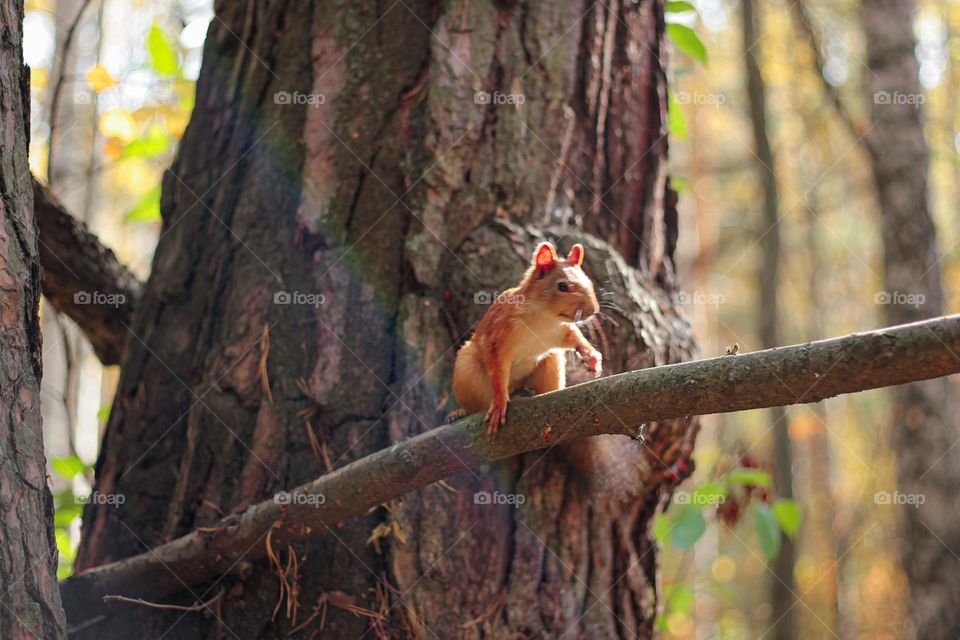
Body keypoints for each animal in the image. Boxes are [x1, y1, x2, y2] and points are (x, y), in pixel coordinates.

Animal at [453, 241, 603, 434]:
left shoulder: (560, 331)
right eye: (562, 286)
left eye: (589, 282)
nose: (593, 310)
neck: (544, 319)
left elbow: (574, 337)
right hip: (466, 371)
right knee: (475, 405)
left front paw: (592, 357)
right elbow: (497, 371)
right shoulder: (498, 336)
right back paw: (460, 412)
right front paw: (500, 403)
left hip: (551, 364)